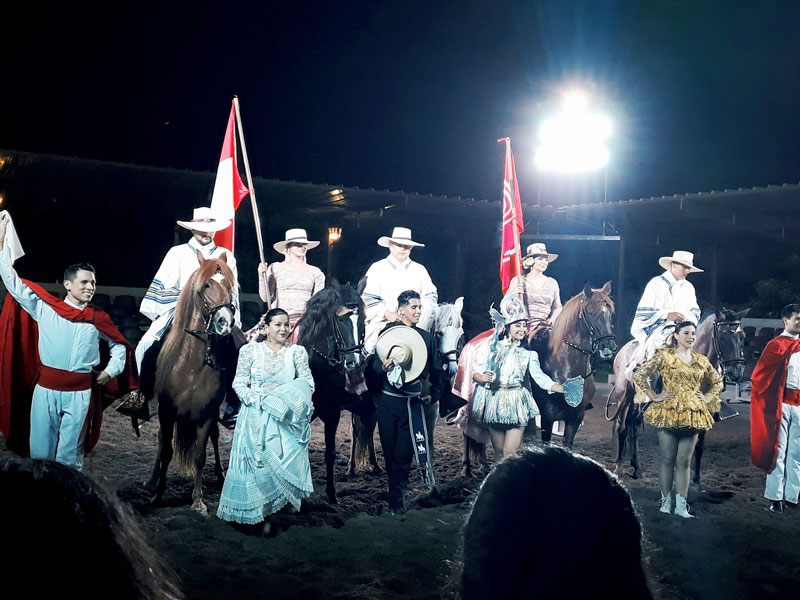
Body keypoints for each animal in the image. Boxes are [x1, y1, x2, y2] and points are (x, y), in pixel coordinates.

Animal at [148, 251, 238, 512]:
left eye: (229, 285)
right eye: (206, 285)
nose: (225, 322)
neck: (193, 365)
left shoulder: (207, 414)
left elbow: (199, 455)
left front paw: (197, 499)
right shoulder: (166, 412)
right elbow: (167, 451)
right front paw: (158, 495)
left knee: (215, 438)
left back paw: (219, 473)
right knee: (162, 441)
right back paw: (152, 480)